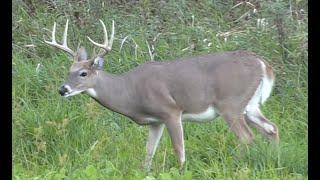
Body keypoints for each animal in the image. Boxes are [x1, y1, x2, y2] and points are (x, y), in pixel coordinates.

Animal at [43, 19, 278, 171]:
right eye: (69, 70)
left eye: (83, 73)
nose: (62, 89)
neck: (130, 92)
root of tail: (262, 63)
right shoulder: (155, 122)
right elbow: (148, 154)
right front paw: (145, 172)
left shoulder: (171, 111)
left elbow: (180, 152)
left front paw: (182, 172)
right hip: (250, 105)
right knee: (271, 128)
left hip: (230, 103)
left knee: (247, 137)